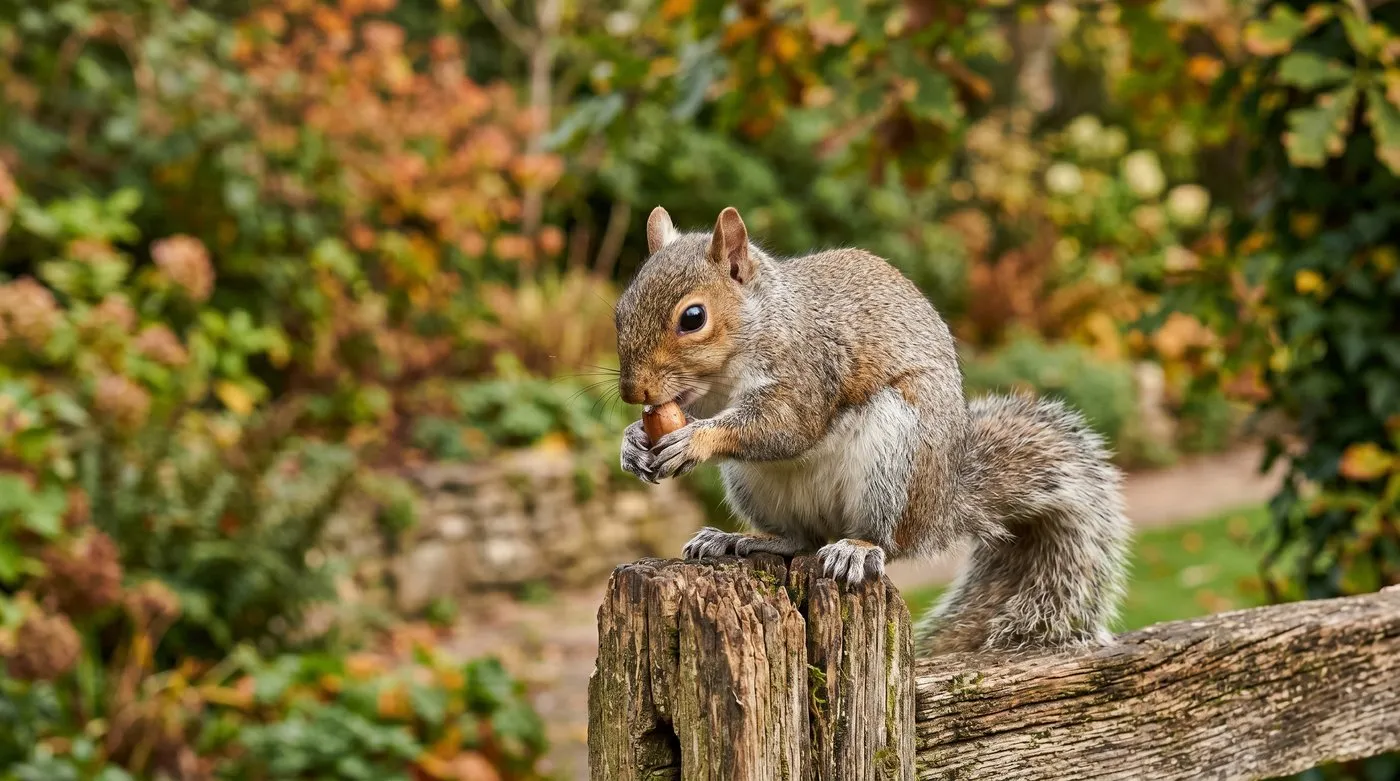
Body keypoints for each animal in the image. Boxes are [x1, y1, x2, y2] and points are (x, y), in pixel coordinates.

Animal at [614, 205, 1130, 653]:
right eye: (620, 309)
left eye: (693, 317)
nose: (632, 391)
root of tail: (940, 507)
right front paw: (633, 443)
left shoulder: (808, 369)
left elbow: (785, 427)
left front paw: (695, 439)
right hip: (756, 486)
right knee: (800, 538)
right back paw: (738, 539)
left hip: (893, 458)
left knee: (885, 542)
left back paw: (858, 549)